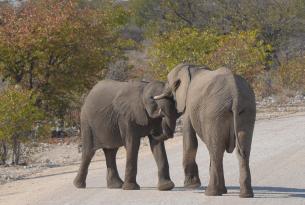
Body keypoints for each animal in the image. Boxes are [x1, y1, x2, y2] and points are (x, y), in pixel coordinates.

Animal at [153, 63, 255, 197]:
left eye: (169, 82)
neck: (192, 68)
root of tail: (235, 93)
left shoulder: (188, 105)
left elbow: (190, 140)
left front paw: (191, 185)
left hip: (214, 113)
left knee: (216, 151)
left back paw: (211, 193)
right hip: (246, 110)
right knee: (243, 151)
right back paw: (245, 195)